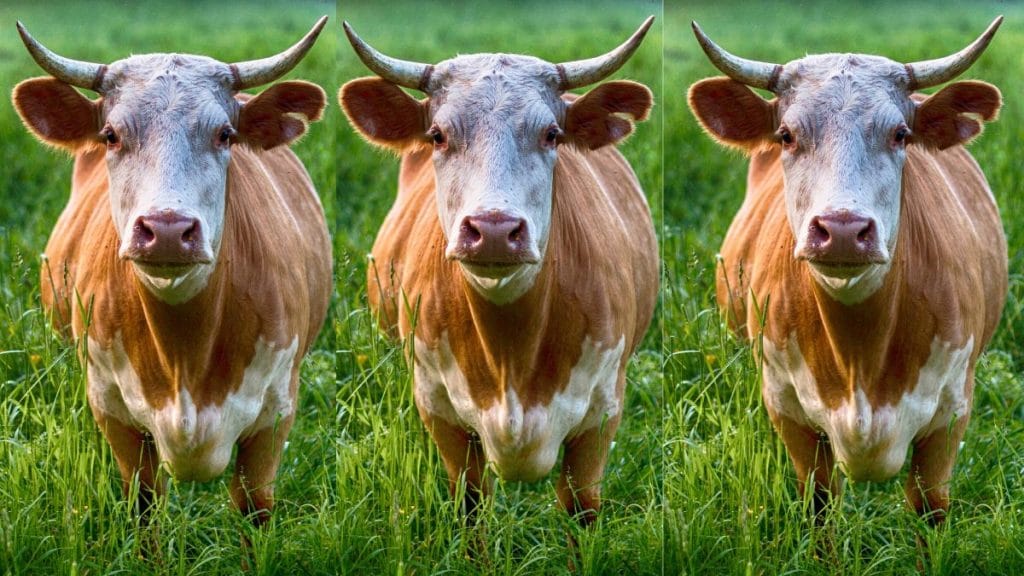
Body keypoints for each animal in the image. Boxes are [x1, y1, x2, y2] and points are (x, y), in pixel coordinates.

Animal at [12, 18, 332, 526]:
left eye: (225, 135)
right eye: (110, 135)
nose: (166, 230)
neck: (185, 352)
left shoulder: (275, 415)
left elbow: (254, 508)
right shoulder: (112, 411)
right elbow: (144, 506)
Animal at [339, 18, 658, 526]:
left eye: (551, 134)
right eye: (437, 135)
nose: (493, 230)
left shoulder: (602, 415)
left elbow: (581, 509)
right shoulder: (439, 410)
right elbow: (471, 505)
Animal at [687, 17, 1006, 525]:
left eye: (900, 134)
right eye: (786, 135)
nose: (841, 230)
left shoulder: (952, 413)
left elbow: (930, 509)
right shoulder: (787, 409)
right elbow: (819, 506)